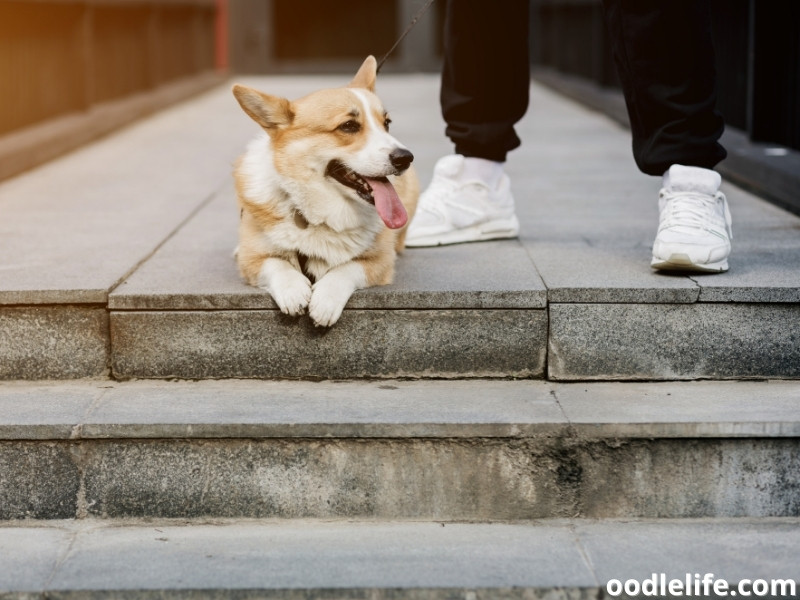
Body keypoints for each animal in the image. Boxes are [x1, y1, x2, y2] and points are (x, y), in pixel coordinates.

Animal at [231, 55, 418, 326]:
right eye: (349, 126)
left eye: (387, 124)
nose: (406, 158)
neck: (319, 214)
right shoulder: (253, 261)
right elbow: (276, 264)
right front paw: (293, 290)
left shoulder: (380, 262)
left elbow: (346, 268)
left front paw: (326, 301)